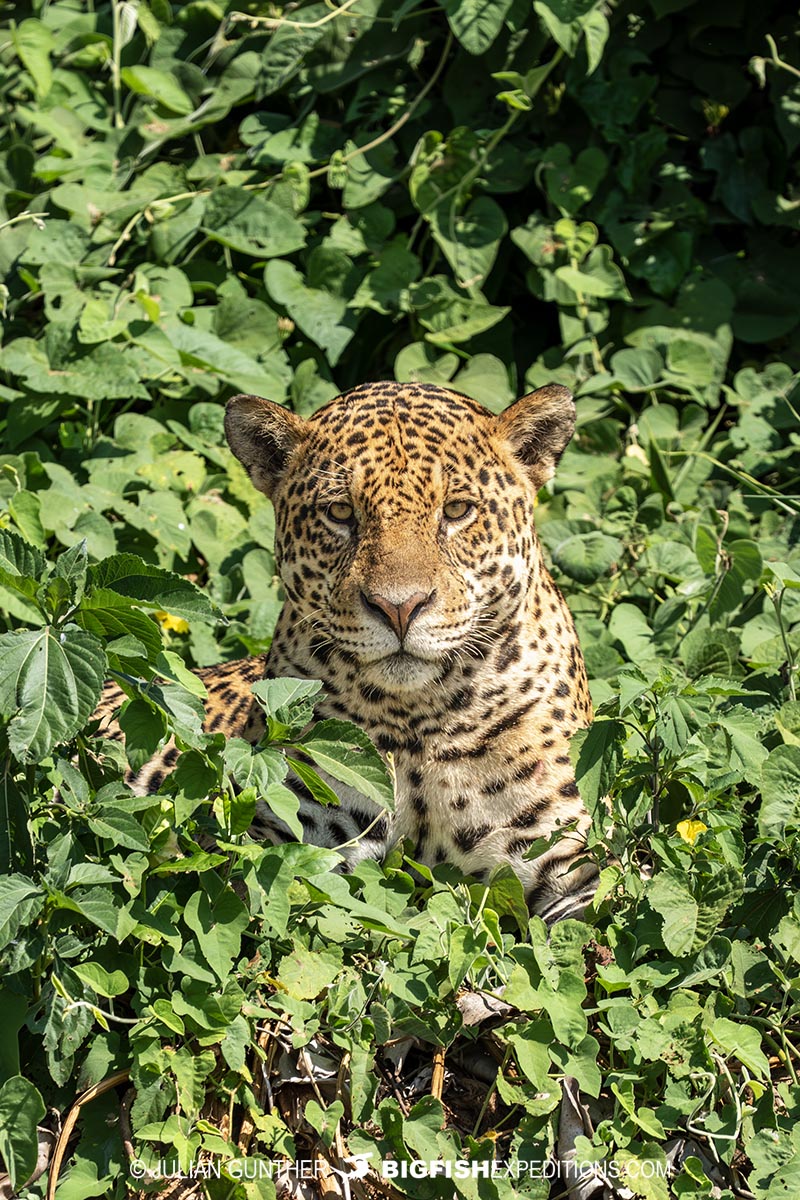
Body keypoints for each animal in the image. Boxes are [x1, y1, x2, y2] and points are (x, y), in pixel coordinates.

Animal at [99, 380, 598, 924]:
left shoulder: (568, 861)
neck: (417, 718)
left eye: (457, 510)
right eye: (340, 513)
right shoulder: (284, 836)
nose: (399, 607)